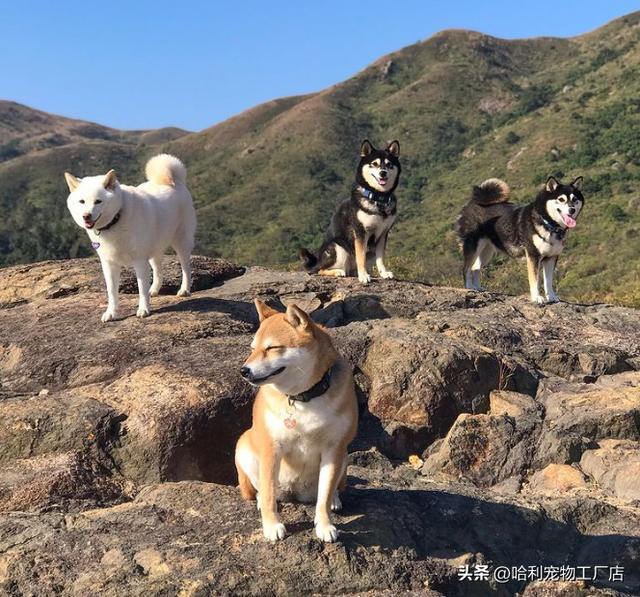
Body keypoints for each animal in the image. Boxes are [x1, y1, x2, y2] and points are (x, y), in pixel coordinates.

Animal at [64, 154, 196, 322]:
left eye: (98, 201)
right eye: (81, 201)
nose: (86, 216)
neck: (116, 220)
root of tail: (174, 181)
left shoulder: (139, 260)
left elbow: (141, 289)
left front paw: (143, 309)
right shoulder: (109, 264)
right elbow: (112, 292)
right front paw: (111, 313)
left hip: (181, 242)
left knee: (186, 268)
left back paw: (184, 289)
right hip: (154, 247)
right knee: (158, 269)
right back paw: (154, 289)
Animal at [298, 142, 400, 286]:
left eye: (389, 164)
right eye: (374, 164)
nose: (383, 173)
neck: (378, 197)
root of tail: (317, 260)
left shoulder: (383, 233)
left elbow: (380, 257)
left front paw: (383, 273)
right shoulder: (360, 232)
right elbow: (360, 256)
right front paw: (363, 276)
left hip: (369, 253)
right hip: (338, 248)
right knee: (317, 270)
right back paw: (338, 272)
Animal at [456, 175, 584, 300]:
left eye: (575, 199)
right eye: (561, 199)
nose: (572, 210)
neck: (548, 223)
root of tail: (471, 204)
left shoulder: (551, 258)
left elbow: (548, 281)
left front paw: (551, 297)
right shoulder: (533, 256)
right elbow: (534, 279)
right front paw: (537, 298)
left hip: (486, 252)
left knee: (475, 268)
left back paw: (478, 288)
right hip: (473, 247)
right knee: (466, 269)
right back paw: (469, 288)